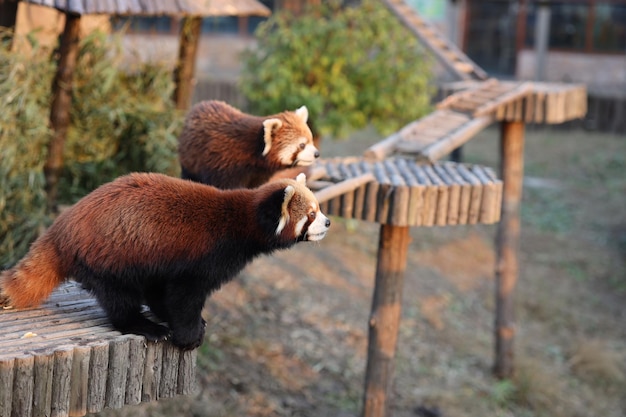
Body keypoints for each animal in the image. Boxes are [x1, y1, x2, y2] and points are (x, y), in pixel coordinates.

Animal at [0, 171, 330, 350]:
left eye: (319, 208)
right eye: (310, 214)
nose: (327, 223)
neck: (242, 222)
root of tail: (62, 226)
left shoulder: (170, 262)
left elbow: (167, 295)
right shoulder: (202, 259)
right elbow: (184, 299)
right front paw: (189, 334)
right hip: (110, 257)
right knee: (119, 299)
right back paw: (144, 326)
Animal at [178, 100, 320, 188]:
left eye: (311, 140)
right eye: (302, 145)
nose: (317, 154)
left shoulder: (259, 174)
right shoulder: (222, 164)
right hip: (189, 161)